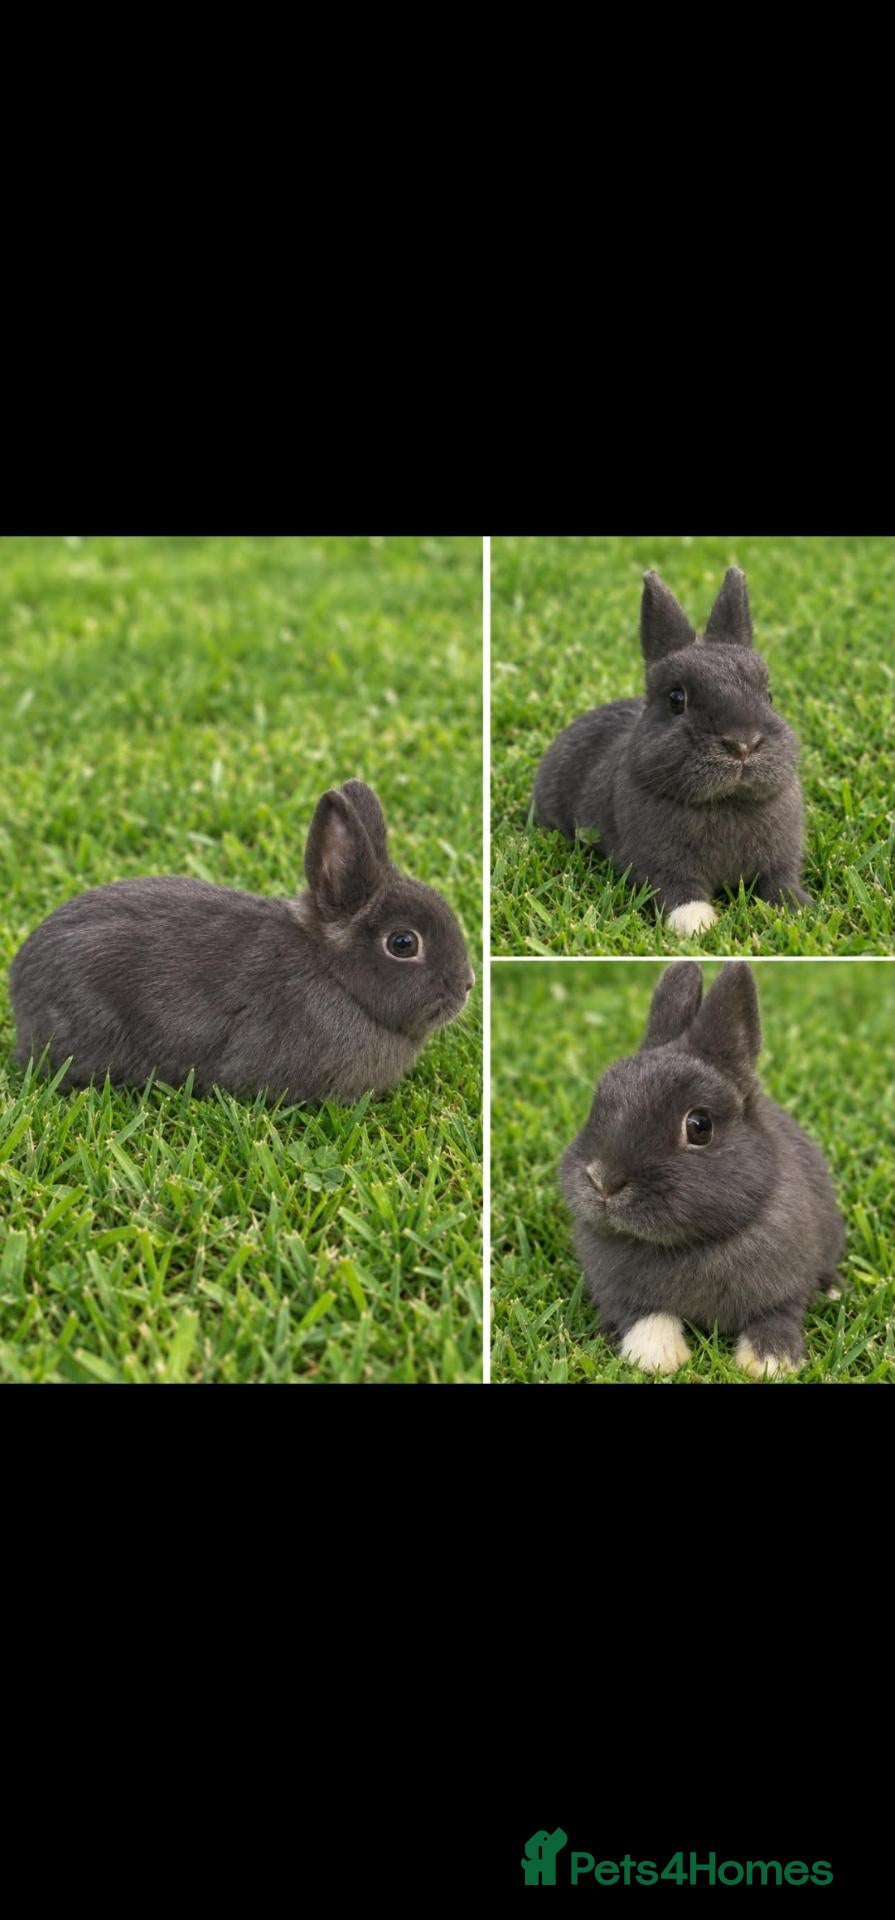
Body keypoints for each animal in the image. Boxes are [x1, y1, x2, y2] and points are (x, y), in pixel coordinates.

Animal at [533, 567, 812, 936]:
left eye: (768, 696)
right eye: (676, 699)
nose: (742, 745)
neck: (725, 802)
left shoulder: (779, 862)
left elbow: (780, 884)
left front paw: (799, 909)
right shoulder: (659, 865)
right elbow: (677, 891)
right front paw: (699, 926)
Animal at [559, 961, 844, 1378]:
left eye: (699, 1126)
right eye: (599, 1105)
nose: (603, 1180)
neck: (690, 1243)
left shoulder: (785, 1288)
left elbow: (777, 1318)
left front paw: (770, 1363)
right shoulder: (623, 1297)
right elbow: (645, 1317)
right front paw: (658, 1358)